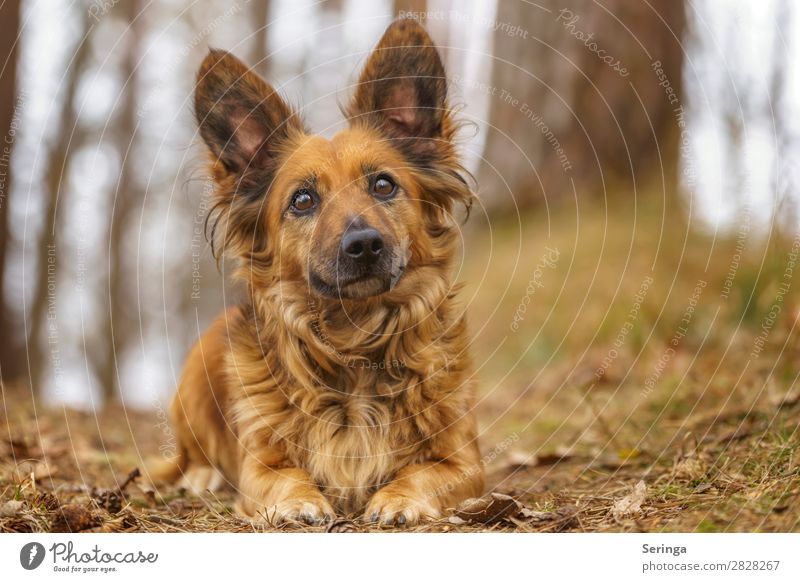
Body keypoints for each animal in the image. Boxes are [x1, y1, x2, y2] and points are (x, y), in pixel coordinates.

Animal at [153, 19, 484, 528]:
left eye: (383, 185)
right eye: (303, 199)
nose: (364, 244)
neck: (355, 342)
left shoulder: (466, 462)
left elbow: (425, 472)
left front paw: (399, 498)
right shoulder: (259, 466)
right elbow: (283, 477)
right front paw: (298, 502)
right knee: (190, 458)